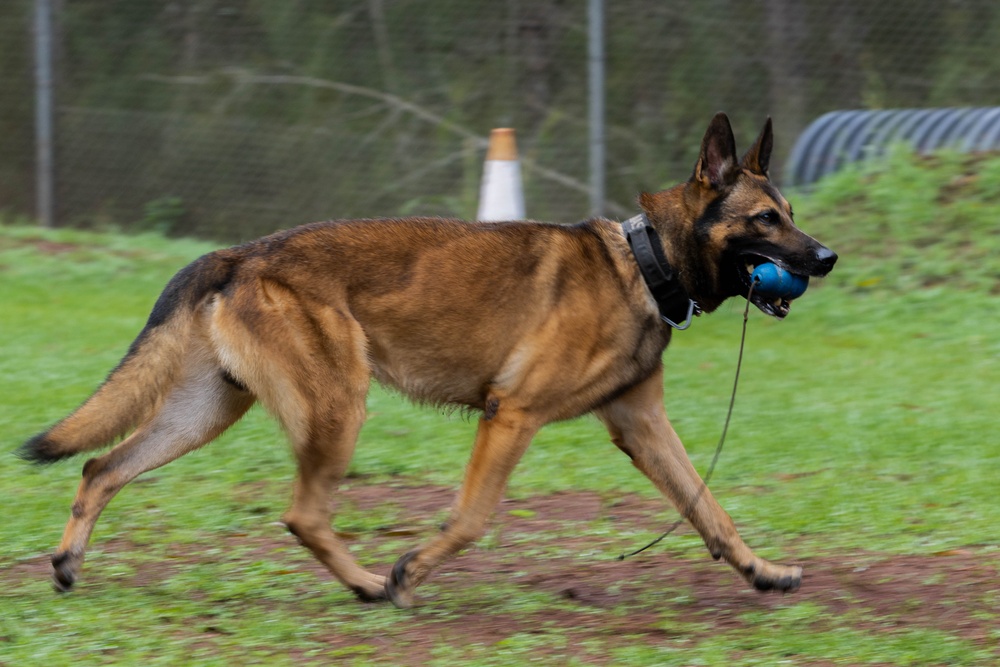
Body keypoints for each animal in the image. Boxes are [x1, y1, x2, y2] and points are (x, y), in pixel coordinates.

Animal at [21, 113, 836, 604]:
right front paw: (412, 565)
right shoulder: (512, 416)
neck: (644, 260)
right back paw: (370, 583)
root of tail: (240, 253)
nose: (828, 257)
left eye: (792, 214)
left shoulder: (642, 425)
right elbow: (471, 517)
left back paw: (67, 563)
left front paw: (762, 570)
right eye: (766, 219)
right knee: (302, 513)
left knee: (101, 468)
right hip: (337, 408)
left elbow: (710, 509)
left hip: (206, 412)